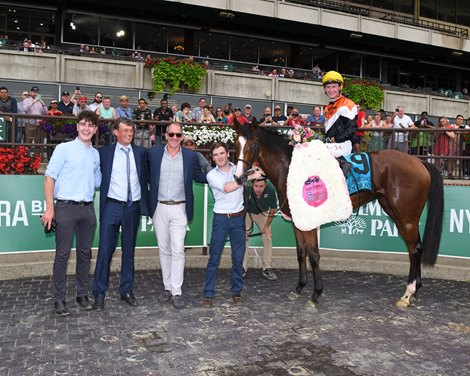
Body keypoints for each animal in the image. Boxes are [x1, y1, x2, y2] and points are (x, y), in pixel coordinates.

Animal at [235, 120, 444, 308]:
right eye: (236, 144)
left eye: (252, 145)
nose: (239, 177)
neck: (290, 168)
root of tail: (419, 161)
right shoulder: (298, 221)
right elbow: (301, 253)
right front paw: (299, 288)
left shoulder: (310, 223)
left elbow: (314, 255)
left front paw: (315, 294)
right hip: (395, 211)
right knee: (414, 248)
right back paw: (414, 291)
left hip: (406, 217)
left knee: (415, 248)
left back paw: (407, 294)